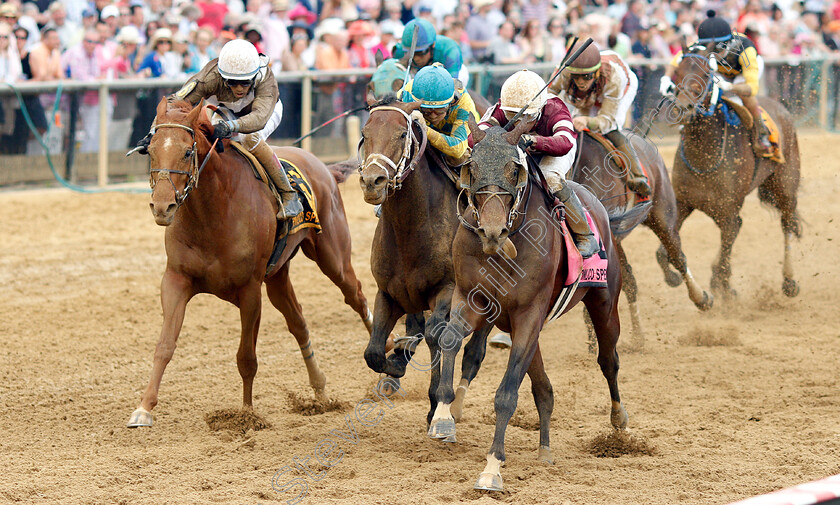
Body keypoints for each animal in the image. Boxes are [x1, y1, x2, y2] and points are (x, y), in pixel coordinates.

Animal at [127, 97, 370, 426]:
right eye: (151, 150)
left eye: (188, 151)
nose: (162, 207)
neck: (213, 213)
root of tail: (325, 168)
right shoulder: (176, 279)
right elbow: (165, 345)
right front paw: (144, 408)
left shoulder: (250, 290)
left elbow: (246, 357)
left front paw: (246, 415)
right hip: (278, 276)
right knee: (299, 323)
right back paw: (319, 391)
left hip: (333, 256)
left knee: (356, 295)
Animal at [358, 95, 496, 426]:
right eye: (365, 134)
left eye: (401, 135)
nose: (372, 181)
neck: (411, 228)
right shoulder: (388, 292)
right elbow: (374, 352)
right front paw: (395, 364)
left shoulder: (446, 290)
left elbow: (437, 335)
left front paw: (436, 403)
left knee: (473, 349)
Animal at [430, 117, 628, 488]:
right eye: (471, 167)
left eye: (514, 169)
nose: (492, 231)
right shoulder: (472, 299)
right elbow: (449, 339)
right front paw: (443, 419)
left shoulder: (528, 315)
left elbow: (507, 394)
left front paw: (492, 467)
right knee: (544, 388)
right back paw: (545, 450)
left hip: (604, 304)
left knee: (609, 360)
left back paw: (619, 420)